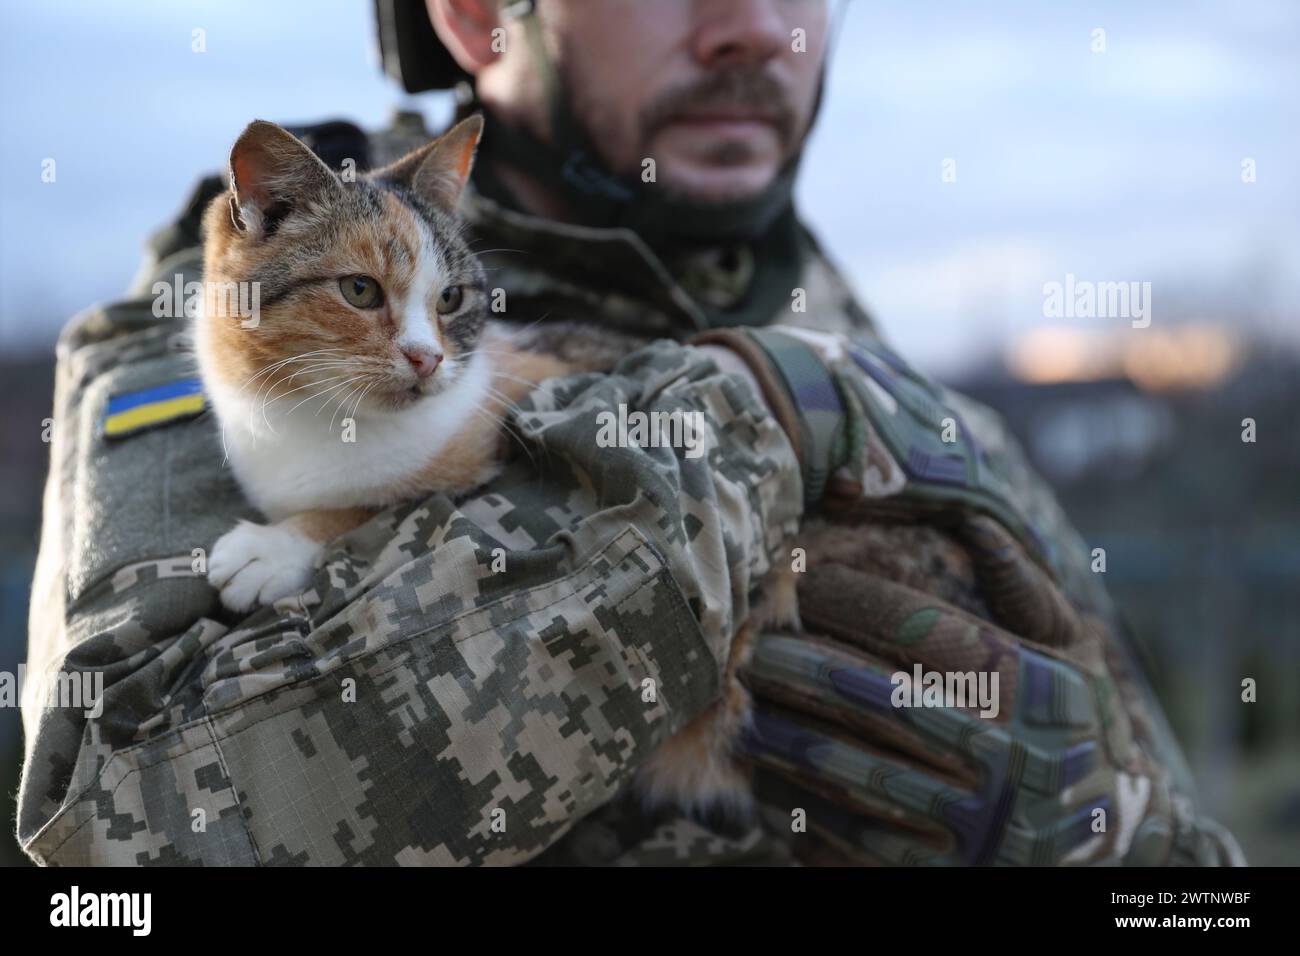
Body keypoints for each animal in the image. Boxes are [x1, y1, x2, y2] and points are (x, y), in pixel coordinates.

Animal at [193, 115, 795, 816]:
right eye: (358, 289)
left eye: (451, 298)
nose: (428, 359)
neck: (316, 414)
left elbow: (377, 502)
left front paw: (275, 547)